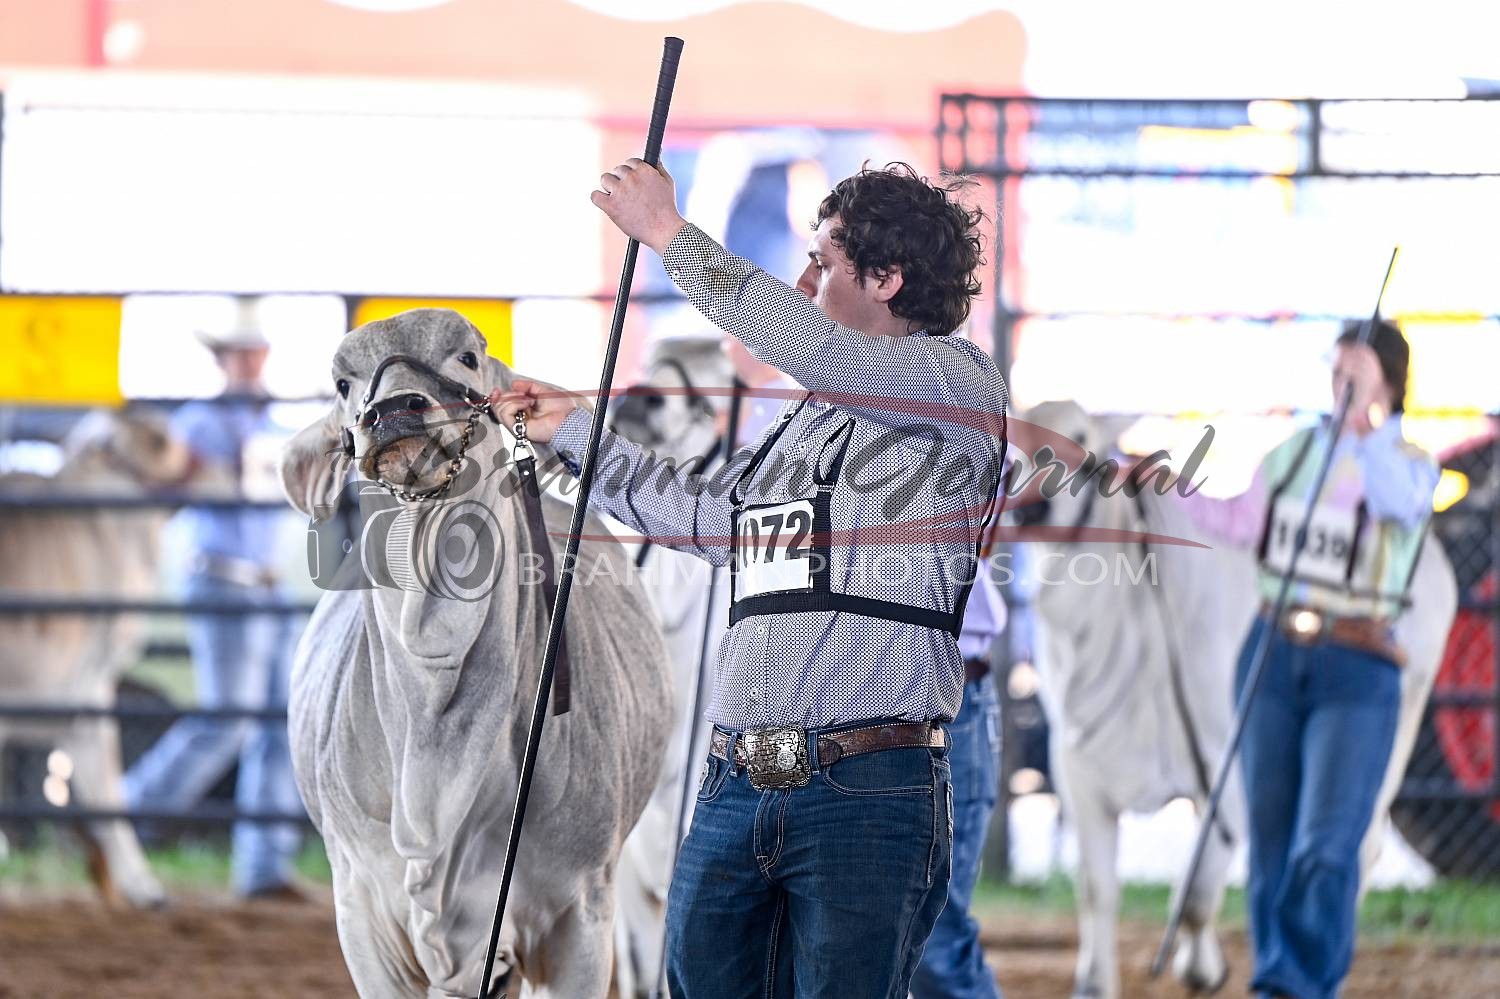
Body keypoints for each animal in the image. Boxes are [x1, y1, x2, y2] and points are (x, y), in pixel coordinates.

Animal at [1014, 399, 1458, 996]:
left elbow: (1196, 893)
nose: (1033, 508)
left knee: (1356, 846)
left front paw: (1200, 970)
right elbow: (1096, 889)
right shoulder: (1076, 767)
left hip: (1392, 736)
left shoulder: (1220, 773)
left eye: (1081, 438)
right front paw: (1094, 982)